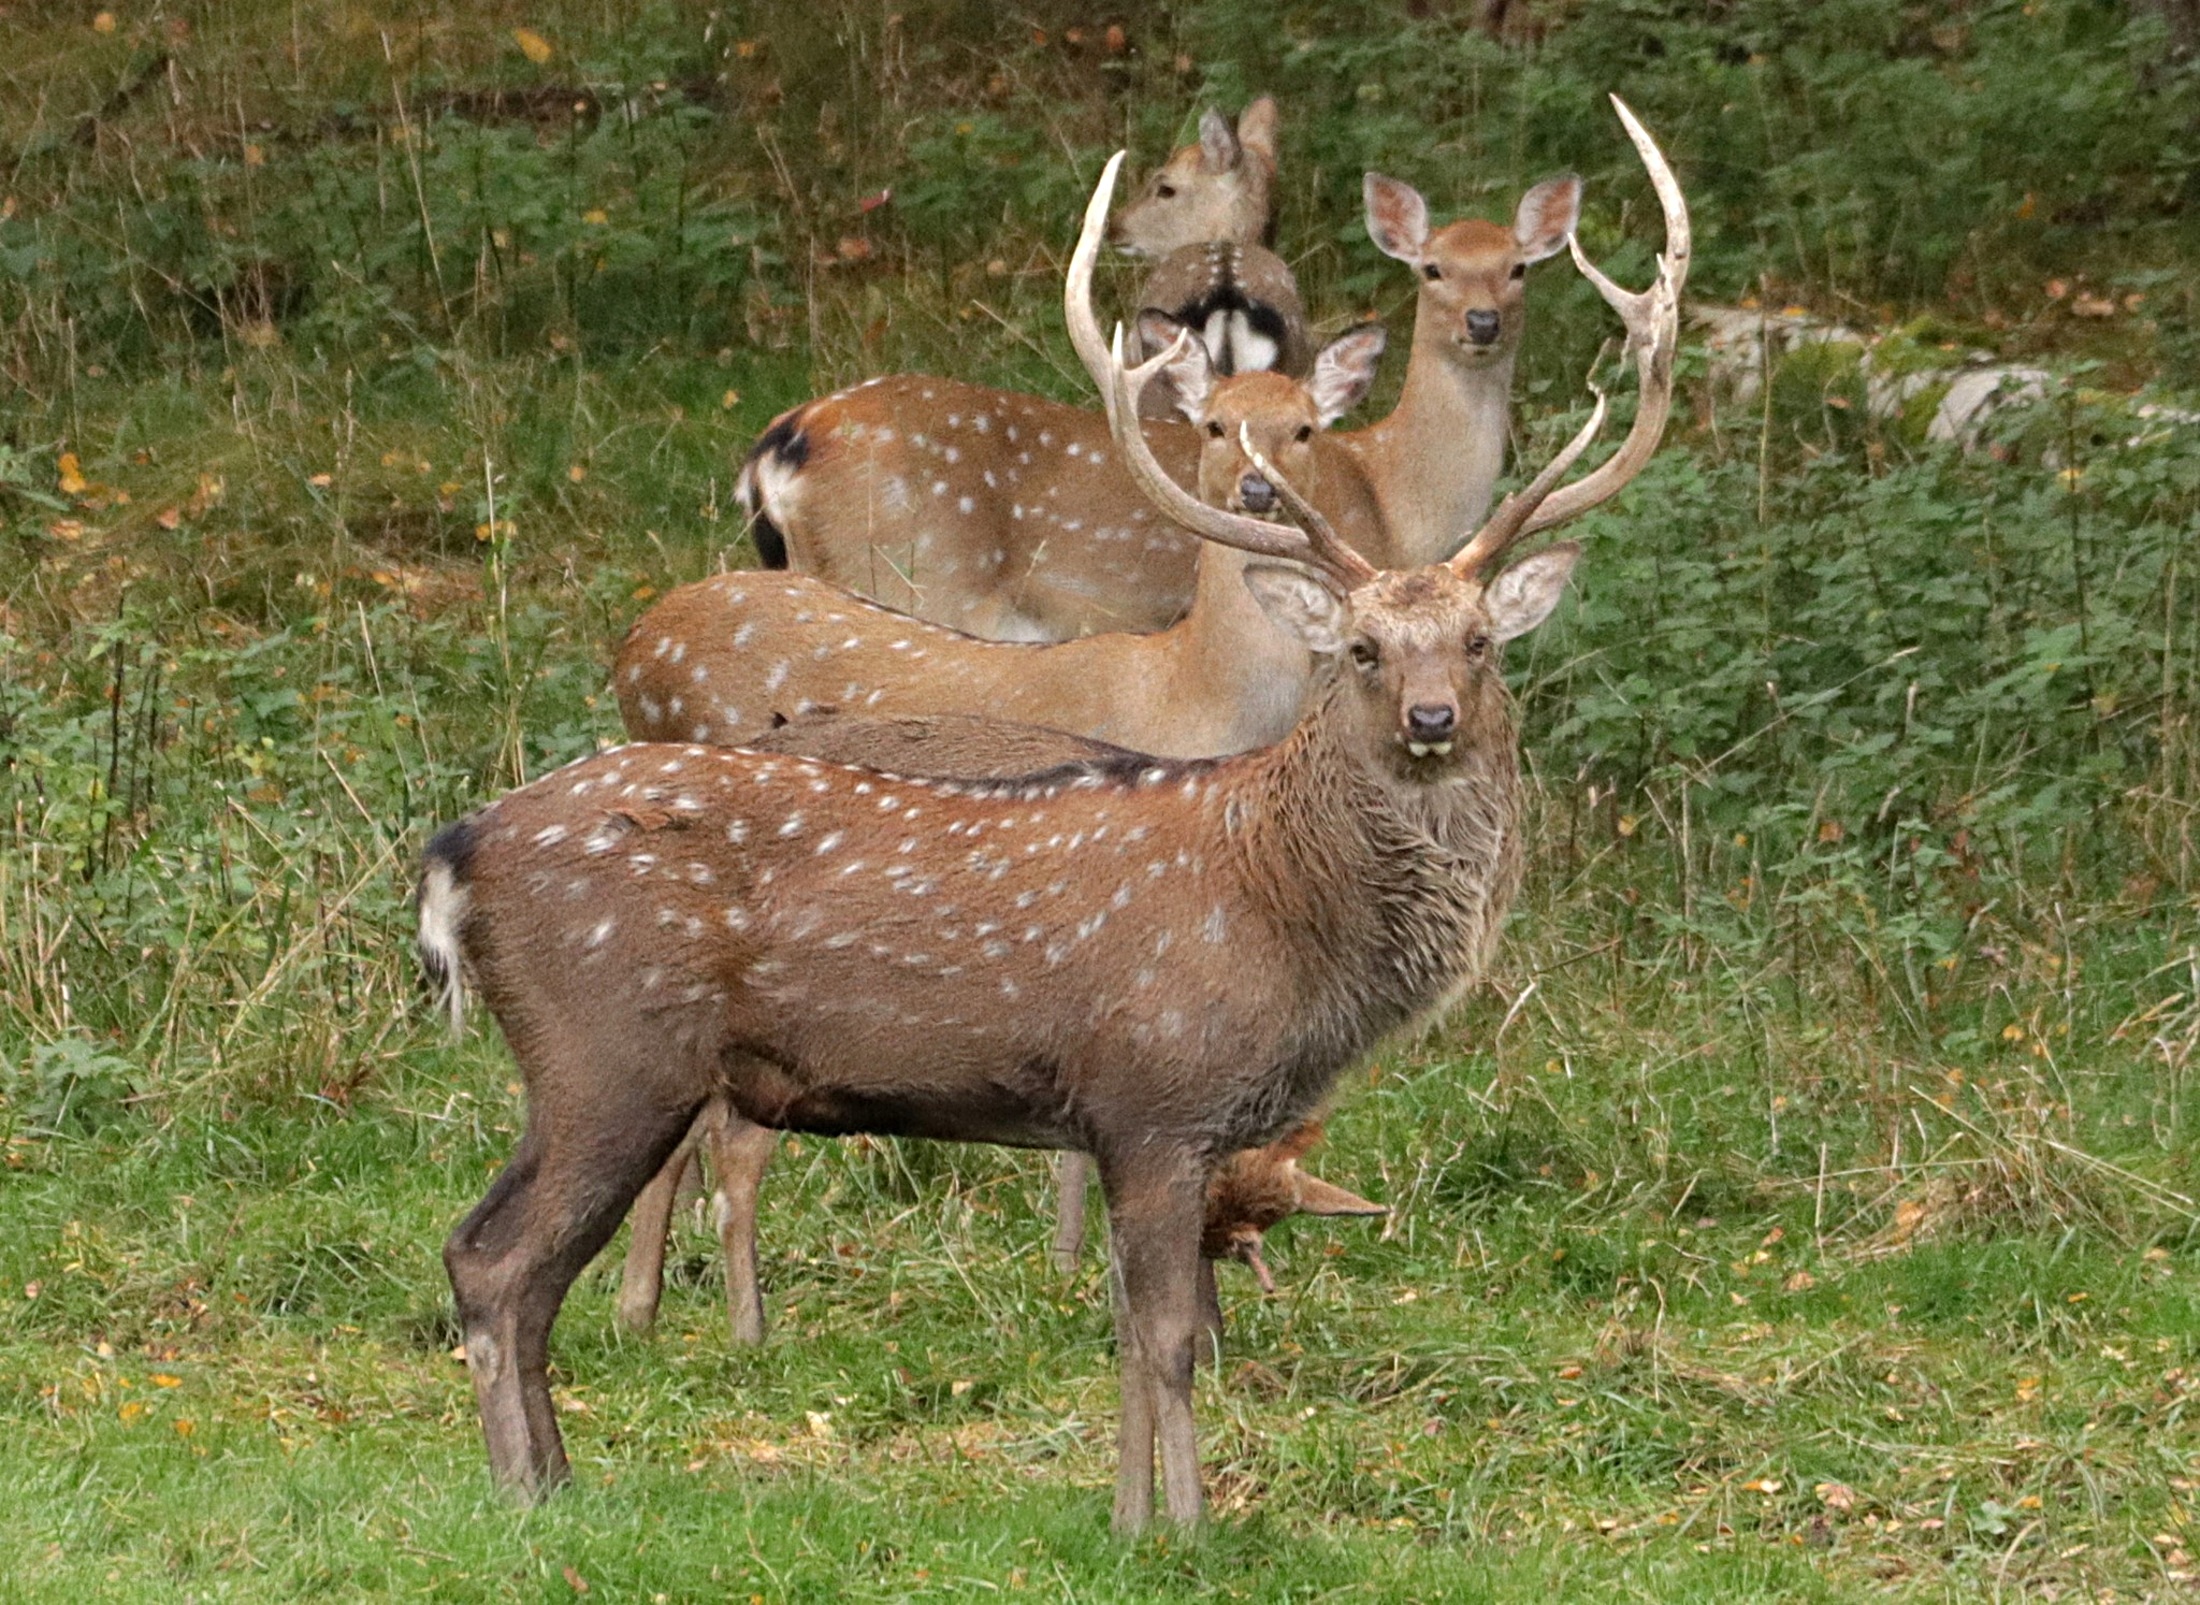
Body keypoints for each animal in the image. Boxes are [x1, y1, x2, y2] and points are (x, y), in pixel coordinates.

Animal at [739, 128, 1601, 637]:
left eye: (1518, 267)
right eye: (1432, 269)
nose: (1482, 322)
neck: (1392, 493)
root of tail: (781, 448)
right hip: (916, 580)